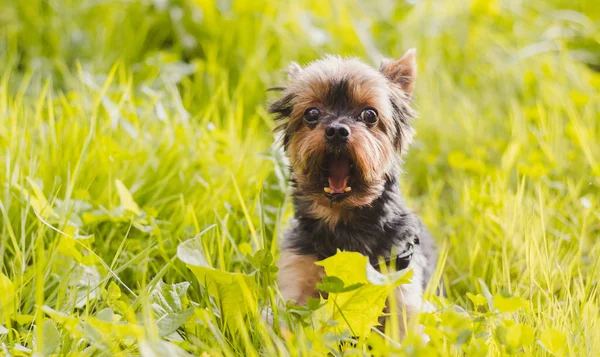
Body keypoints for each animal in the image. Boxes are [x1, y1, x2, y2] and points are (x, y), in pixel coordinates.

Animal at [270, 48, 438, 336]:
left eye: (370, 115)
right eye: (312, 114)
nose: (337, 130)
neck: (342, 223)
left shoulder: (398, 275)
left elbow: (403, 330)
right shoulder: (296, 274)